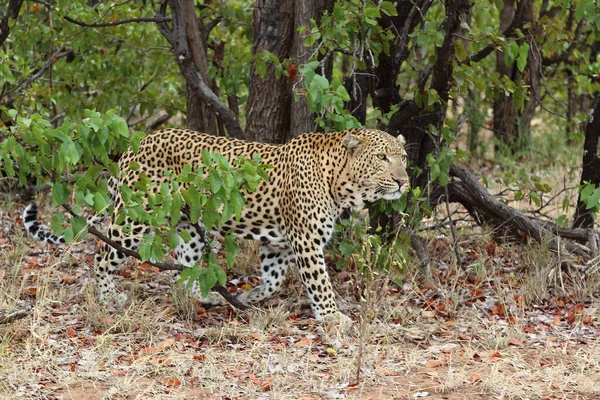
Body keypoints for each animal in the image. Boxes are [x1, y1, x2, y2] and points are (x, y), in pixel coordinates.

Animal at [22, 128, 408, 324]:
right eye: (381, 158)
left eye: (402, 158)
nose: (403, 181)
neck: (340, 181)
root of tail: (136, 143)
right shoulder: (305, 241)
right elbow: (320, 285)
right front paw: (332, 319)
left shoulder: (278, 244)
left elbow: (272, 281)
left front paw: (247, 298)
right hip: (135, 218)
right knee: (103, 252)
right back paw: (108, 298)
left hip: (188, 227)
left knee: (185, 268)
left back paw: (202, 297)